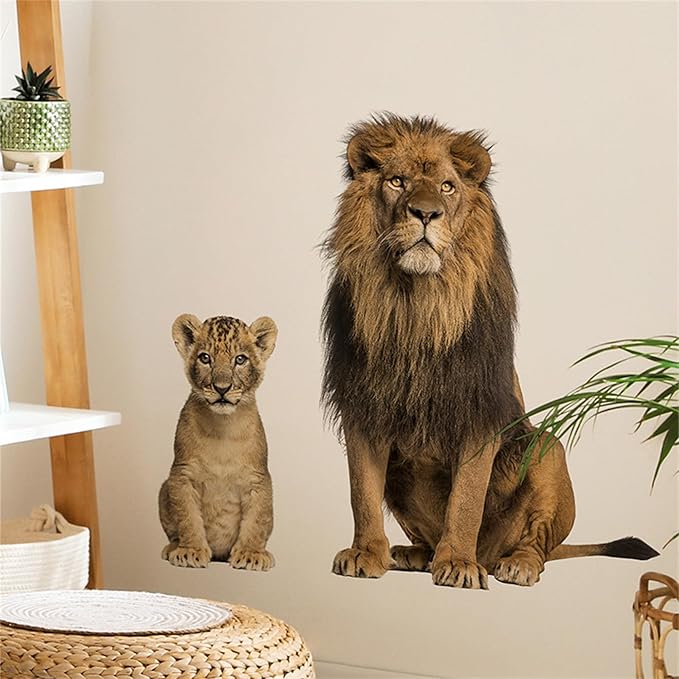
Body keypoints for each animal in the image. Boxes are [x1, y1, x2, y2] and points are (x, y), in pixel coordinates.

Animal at [159, 314, 277, 570]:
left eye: (240, 359)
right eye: (205, 358)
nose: (222, 388)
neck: (223, 428)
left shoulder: (259, 479)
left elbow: (256, 521)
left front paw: (251, 554)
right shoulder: (181, 474)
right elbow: (188, 517)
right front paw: (191, 551)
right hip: (163, 488)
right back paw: (173, 547)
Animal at [321, 114, 658, 588]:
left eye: (447, 187)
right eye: (397, 181)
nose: (426, 213)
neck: (417, 305)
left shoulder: (480, 411)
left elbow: (466, 500)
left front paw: (459, 564)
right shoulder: (363, 406)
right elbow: (362, 494)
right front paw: (366, 554)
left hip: (547, 446)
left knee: (536, 543)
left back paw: (512, 564)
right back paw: (412, 554)